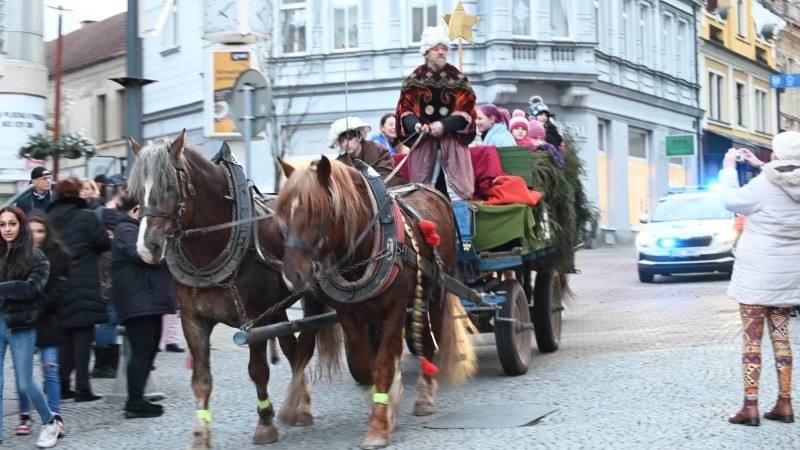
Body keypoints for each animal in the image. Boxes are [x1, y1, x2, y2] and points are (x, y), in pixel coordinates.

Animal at [126, 132, 340, 448]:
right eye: (137, 191)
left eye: (169, 185)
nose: (147, 247)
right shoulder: (193, 319)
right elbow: (201, 380)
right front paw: (200, 435)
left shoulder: (254, 320)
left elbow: (258, 371)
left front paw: (265, 424)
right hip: (278, 305)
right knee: (291, 347)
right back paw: (300, 399)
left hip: (308, 295)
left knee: (305, 345)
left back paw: (299, 405)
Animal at [274, 156, 476, 450]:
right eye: (281, 215)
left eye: (317, 213)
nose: (292, 276)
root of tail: (431, 190)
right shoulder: (348, 314)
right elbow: (365, 364)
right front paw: (390, 401)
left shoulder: (395, 309)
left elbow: (382, 364)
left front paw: (379, 426)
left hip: (438, 290)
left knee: (431, 338)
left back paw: (425, 395)